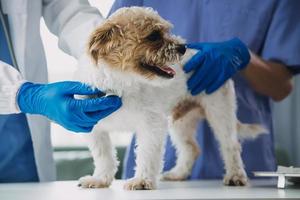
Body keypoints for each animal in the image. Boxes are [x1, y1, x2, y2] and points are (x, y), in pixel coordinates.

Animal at [74, 7, 264, 190]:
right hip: (179, 122)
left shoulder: (151, 125)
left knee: (231, 145)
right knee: (191, 148)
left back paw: (235, 176)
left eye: (166, 31)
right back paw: (178, 174)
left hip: (220, 113)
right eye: (153, 36)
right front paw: (100, 179)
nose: (182, 47)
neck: (122, 83)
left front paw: (142, 181)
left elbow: (146, 154)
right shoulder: (95, 129)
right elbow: (103, 156)